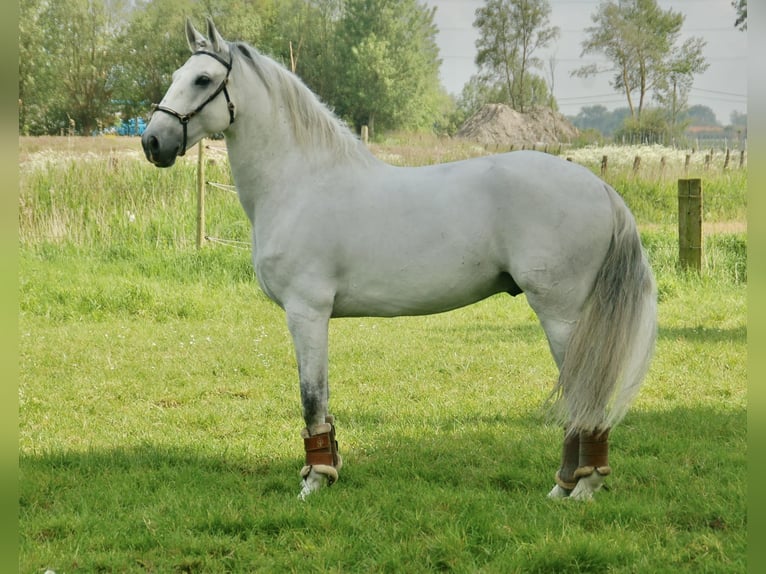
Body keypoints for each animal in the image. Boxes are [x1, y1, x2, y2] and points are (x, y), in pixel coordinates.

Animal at [141, 20, 656, 502]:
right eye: (177, 75)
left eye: (203, 79)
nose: (152, 143)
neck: (300, 182)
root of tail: (601, 188)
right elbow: (321, 400)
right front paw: (328, 469)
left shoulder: (307, 313)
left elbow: (311, 398)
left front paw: (314, 480)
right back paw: (563, 486)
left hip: (562, 316)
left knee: (587, 396)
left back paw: (582, 488)